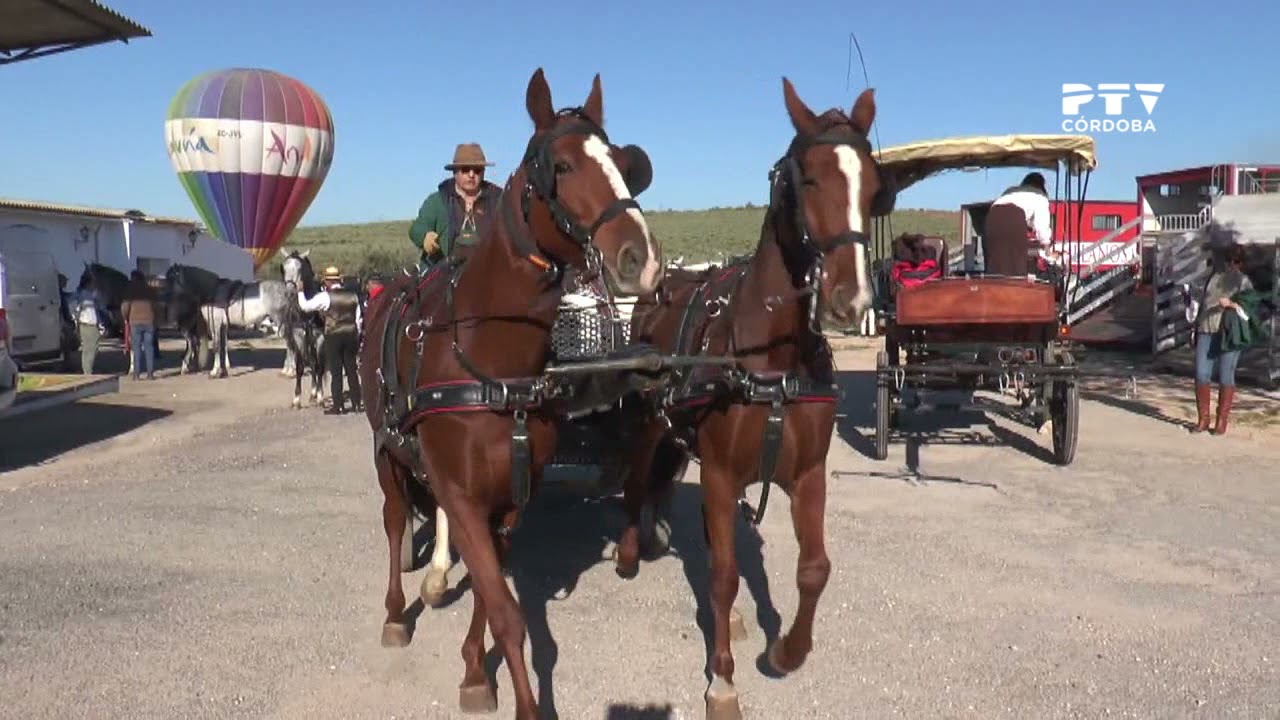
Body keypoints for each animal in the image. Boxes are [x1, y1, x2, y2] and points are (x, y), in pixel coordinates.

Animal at [279, 250, 328, 409]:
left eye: (300, 269)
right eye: (283, 268)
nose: (289, 292)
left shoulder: (320, 338)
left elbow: (319, 367)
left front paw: (320, 397)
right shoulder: (299, 336)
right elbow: (300, 367)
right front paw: (296, 399)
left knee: (316, 365)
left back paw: (316, 393)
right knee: (311, 363)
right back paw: (312, 393)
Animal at [357, 67, 662, 719]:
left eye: (623, 164)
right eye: (562, 166)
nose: (641, 260)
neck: (493, 364)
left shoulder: (509, 499)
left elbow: (490, 592)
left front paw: (476, 668)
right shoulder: (465, 496)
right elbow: (506, 611)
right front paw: (520, 698)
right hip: (385, 448)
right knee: (394, 521)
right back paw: (397, 612)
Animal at [613, 79, 893, 720]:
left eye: (873, 185)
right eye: (807, 178)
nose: (851, 299)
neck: (773, 362)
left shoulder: (808, 473)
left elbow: (813, 568)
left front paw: (786, 651)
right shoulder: (717, 473)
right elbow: (721, 575)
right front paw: (722, 680)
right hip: (650, 423)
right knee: (639, 483)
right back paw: (630, 549)